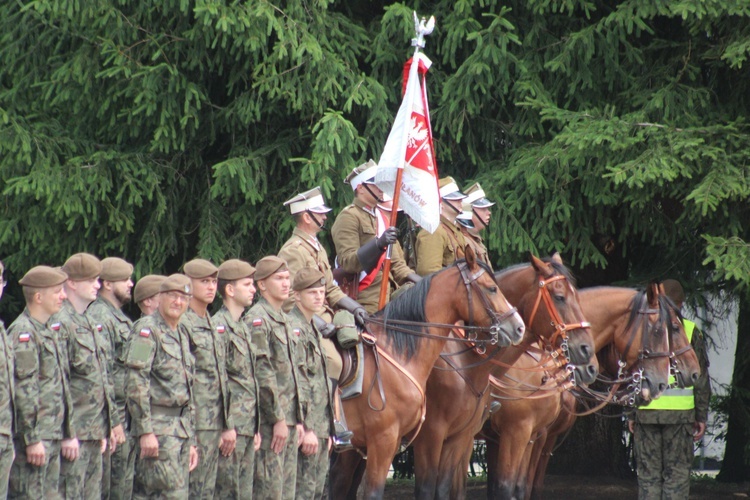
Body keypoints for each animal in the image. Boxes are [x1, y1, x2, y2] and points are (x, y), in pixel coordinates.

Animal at [406, 254, 600, 500]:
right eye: (559, 297)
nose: (587, 355)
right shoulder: (513, 432)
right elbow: (504, 486)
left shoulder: (529, 435)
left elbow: (517, 487)